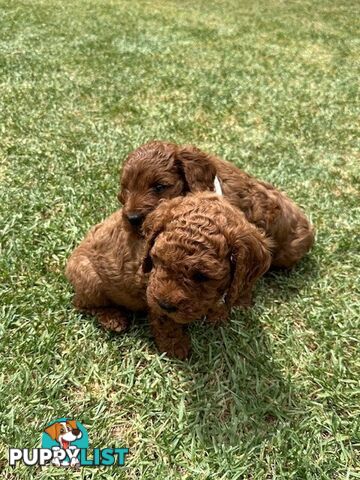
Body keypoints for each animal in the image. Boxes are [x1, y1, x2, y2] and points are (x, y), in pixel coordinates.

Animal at [66, 193, 272, 358]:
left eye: (202, 276)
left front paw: (217, 313)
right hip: (89, 279)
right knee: (82, 304)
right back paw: (112, 318)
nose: (165, 304)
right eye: (157, 260)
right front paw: (175, 346)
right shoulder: (150, 290)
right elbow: (165, 320)